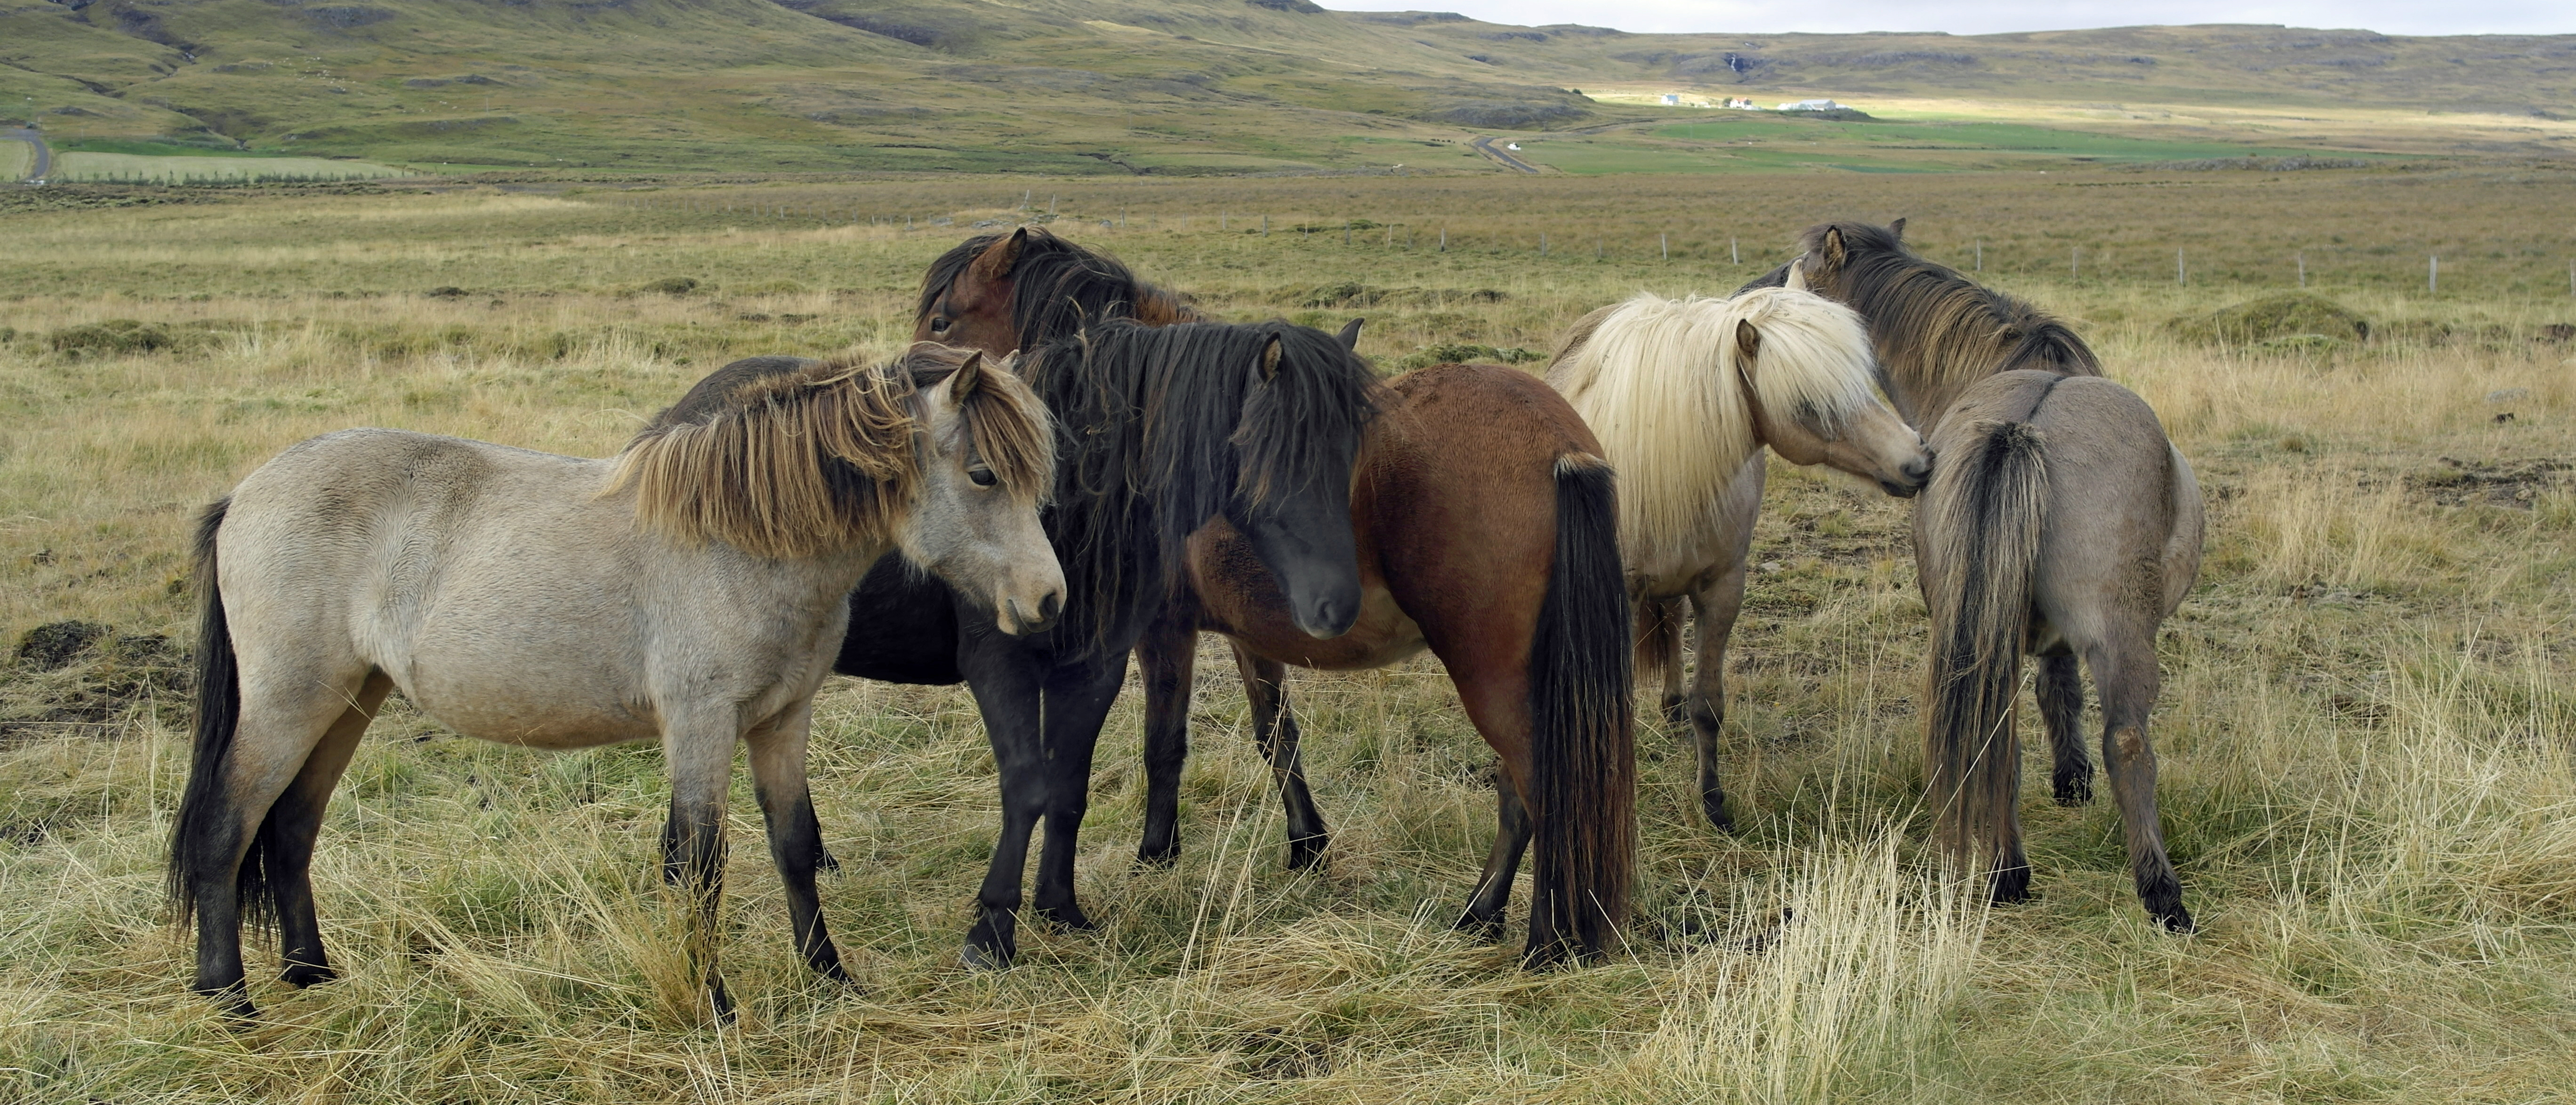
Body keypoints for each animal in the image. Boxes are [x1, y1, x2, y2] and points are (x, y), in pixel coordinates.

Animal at [171, 347, 1061, 1015]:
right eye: (984, 474)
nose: (1048, 601)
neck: (740, 543)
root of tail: (243, 494)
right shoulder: (702, 724)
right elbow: (702, 863)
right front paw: (713, 1001)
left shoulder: (783, 720)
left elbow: (795, 846)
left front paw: (831, 977)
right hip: (289, 704)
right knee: (226, 824)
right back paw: (229, 999)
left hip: (350, 700)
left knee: (291, 828)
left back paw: (311, 975)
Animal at [927, 228, 1638, 958]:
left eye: (943, 320)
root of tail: (1556, 442)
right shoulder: (1250, 632)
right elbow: (1276, 734)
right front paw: (1307, 844)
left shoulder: (1162, 629)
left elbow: (1164, 742)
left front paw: (1156, 852)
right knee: (1521, 792)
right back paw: (1482, 913)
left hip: (1492, 674)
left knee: (1539, 788)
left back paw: (1541, 939)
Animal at [1535, 263, 1927, 829]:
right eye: (1807, 405)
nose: (1918, 461)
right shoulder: (1619, 594)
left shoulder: (1722, 590)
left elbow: (1709, 705)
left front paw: (1714, 801)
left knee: (1674, 626)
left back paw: (1673, 705)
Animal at [1741, 220, 2205, 927]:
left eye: (1800, 275)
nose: (1745, 297)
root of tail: (2020, 427)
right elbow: (2062, 691)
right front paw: (2074, 781)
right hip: (2120, 637)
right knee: (2127, 742)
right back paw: (2160, 893)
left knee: (1998, 741)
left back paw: (2008, 873)